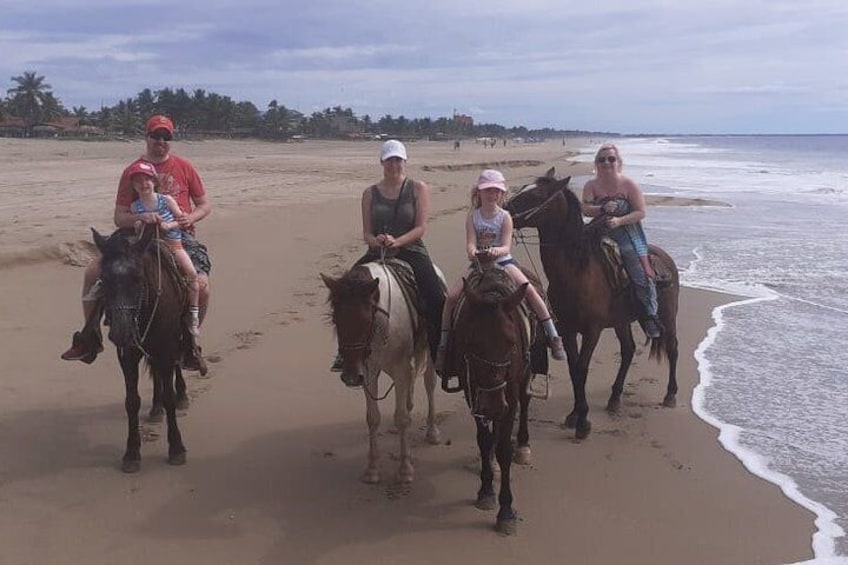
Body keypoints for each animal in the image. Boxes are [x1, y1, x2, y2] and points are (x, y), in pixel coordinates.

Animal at [94, 226, 190, 472]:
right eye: (104, 279)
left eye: (138, 278)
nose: (121, 332)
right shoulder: (127, 354)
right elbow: (132, 401)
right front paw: (131, 453)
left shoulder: (166, 347)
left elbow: (169, 396)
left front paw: (176, 448)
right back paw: (156, 409)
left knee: (176, 367)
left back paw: (182, 395)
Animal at [450, 266, 528, 536]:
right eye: (472, 342)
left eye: (511, 342)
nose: (493, 406)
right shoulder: (473, 392)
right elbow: (484, 441)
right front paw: (485, 490)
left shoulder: (509, 396)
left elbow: (505, 449)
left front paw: (506, 511)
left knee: (525, 401)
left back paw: (523, 446)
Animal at [504, 172, 684, 440]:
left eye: (536, 194)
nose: (503, 211)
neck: (577, 273)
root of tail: (665, 258)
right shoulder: (568, 329)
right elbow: (574, 370)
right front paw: (574, 415)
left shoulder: (592, 331)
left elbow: (581, 368)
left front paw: (583, 422)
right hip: (621, 321)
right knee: (628, 350)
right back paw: (614, 398)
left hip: (667, 315)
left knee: (672, 348)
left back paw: (670, 394)